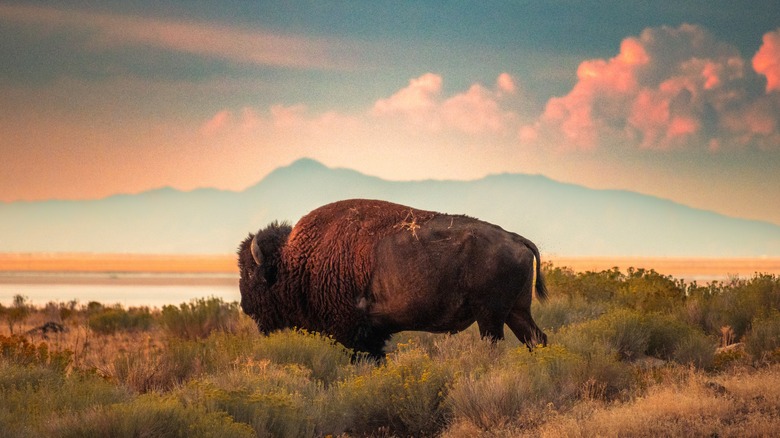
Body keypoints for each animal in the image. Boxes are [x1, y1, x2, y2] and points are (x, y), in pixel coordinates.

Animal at [238, 200, 548, 358]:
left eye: (252, 273)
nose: (244, 306)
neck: (296, 260)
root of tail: (517, 239)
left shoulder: (350, 332)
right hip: (516, 311)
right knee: (537, 338)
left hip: (490, 317)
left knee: (496, 344)